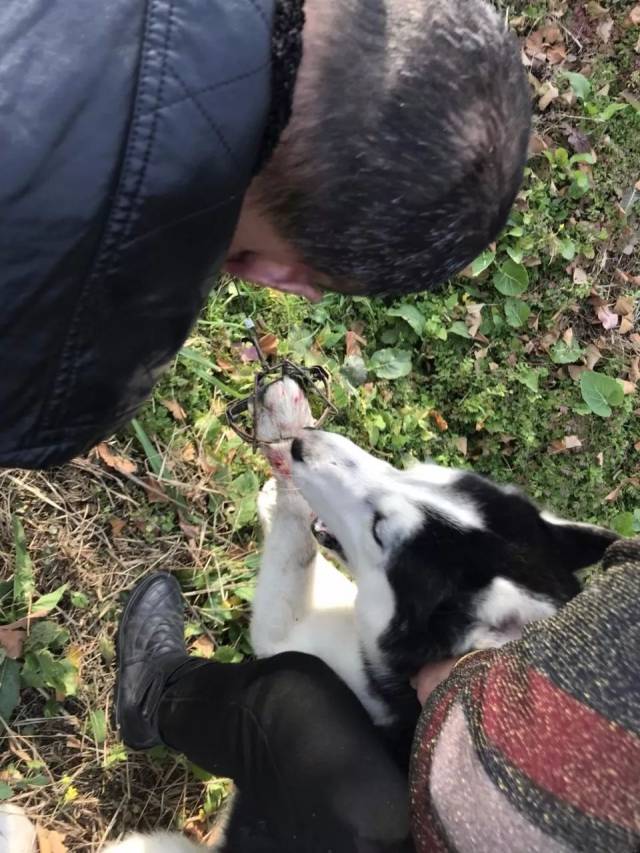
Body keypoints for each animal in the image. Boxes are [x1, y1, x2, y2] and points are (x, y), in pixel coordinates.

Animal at [107, 382, 616, 852]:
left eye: (379, 531)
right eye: (425, 472)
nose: (304, 445)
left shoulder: (289, 635)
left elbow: (295, 547)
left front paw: (285, 459)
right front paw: (284, 435)